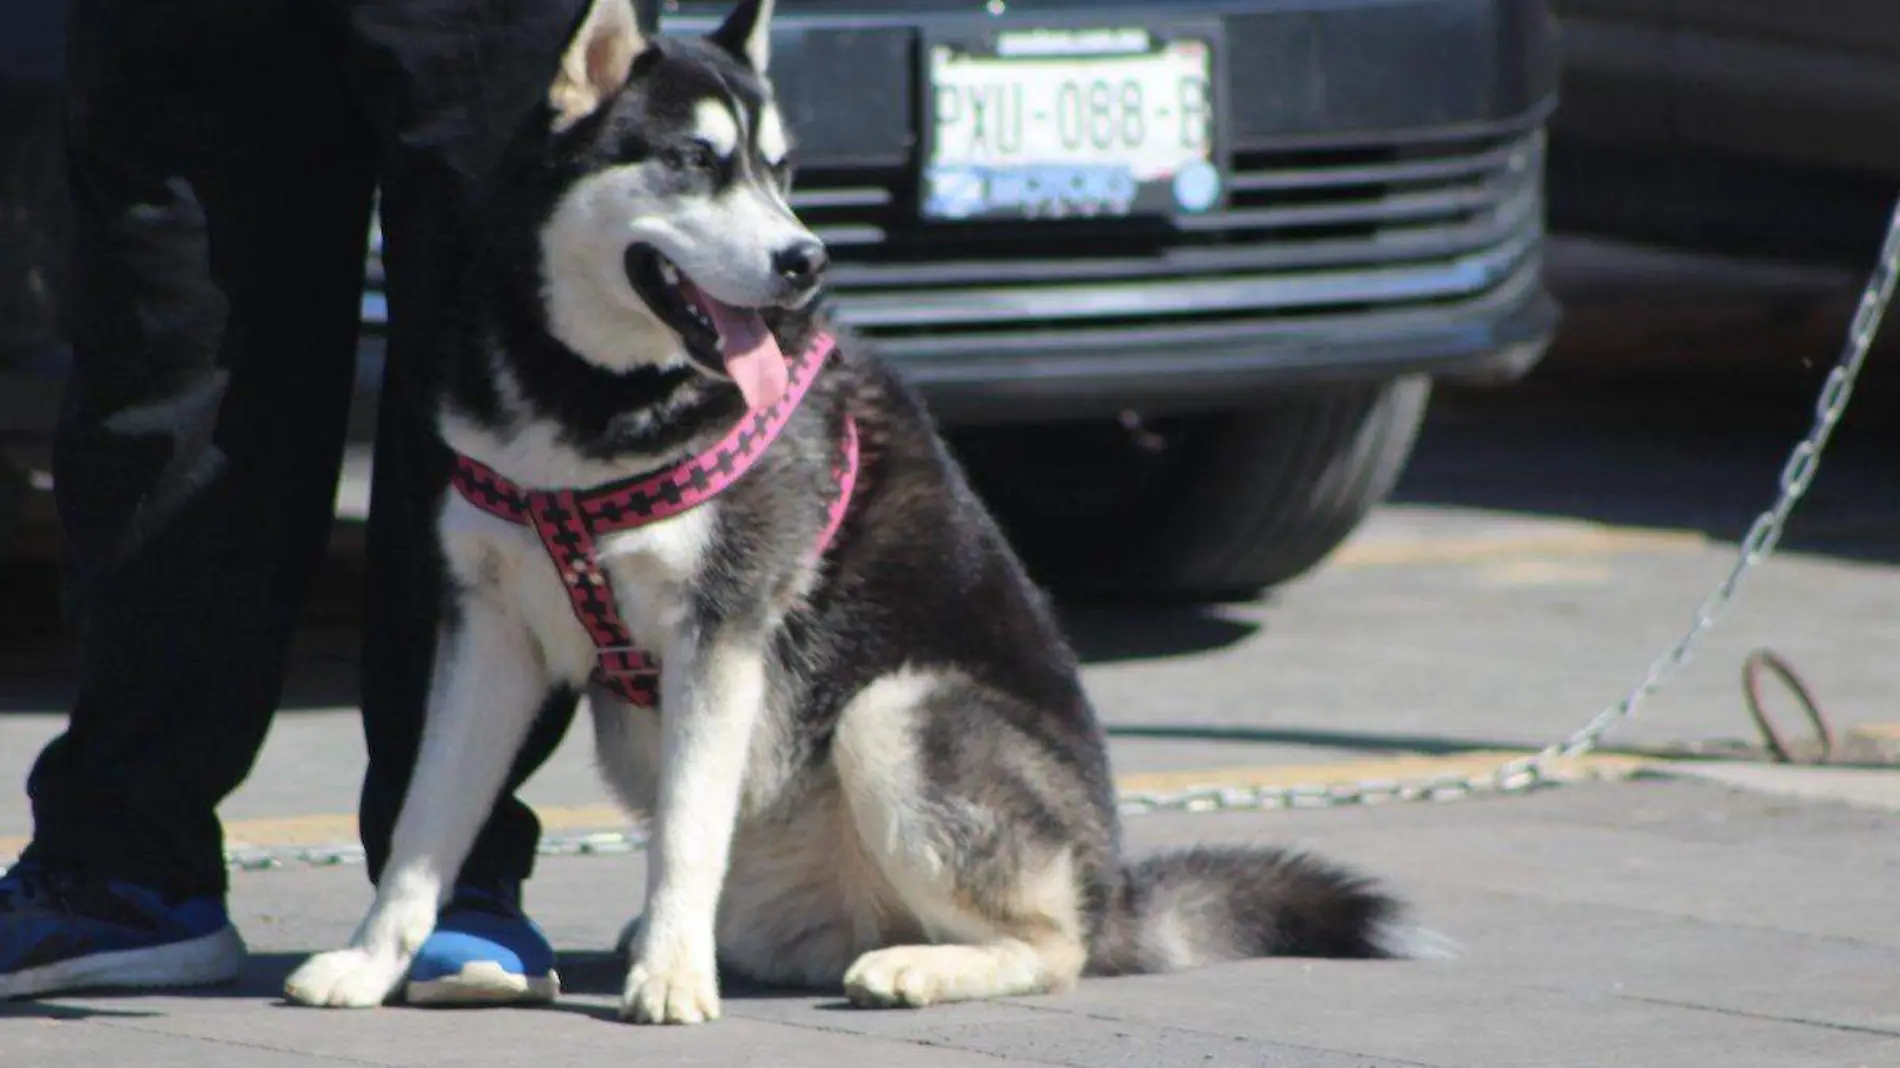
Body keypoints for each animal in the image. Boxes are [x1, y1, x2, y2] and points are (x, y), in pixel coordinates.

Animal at [285, 0, 1428, 1026]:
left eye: (782, 171)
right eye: (694, 161)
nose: (808, 260)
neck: (590, 407)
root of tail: (1115, 892)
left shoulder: (721, 633)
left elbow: (686, 832)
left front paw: (671, 980)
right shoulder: (490, 632)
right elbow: (426, 822)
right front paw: (369, 963)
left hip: (895, 713)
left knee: (1050, 947)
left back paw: (915, 967)